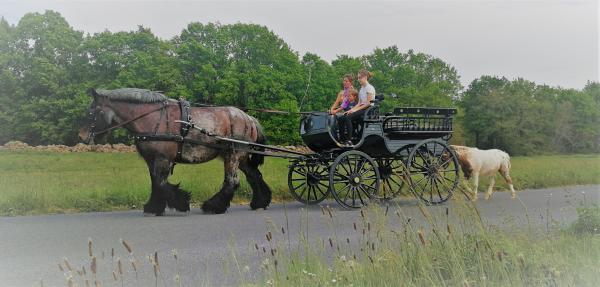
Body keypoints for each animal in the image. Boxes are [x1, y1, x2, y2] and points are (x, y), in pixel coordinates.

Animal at [78, 88, 272, 216]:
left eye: (92, 112)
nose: (81, 135)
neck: (152, 119)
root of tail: (249, 118)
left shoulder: (163, 159)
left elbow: (161, 182)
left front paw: (180, 202)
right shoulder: (151, 159)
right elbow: (155, 182)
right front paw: (154, 207)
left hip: (233, 155)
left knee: (232, 181)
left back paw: (213, 206)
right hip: (241, 157)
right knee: (254, 176)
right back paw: (259, 202)